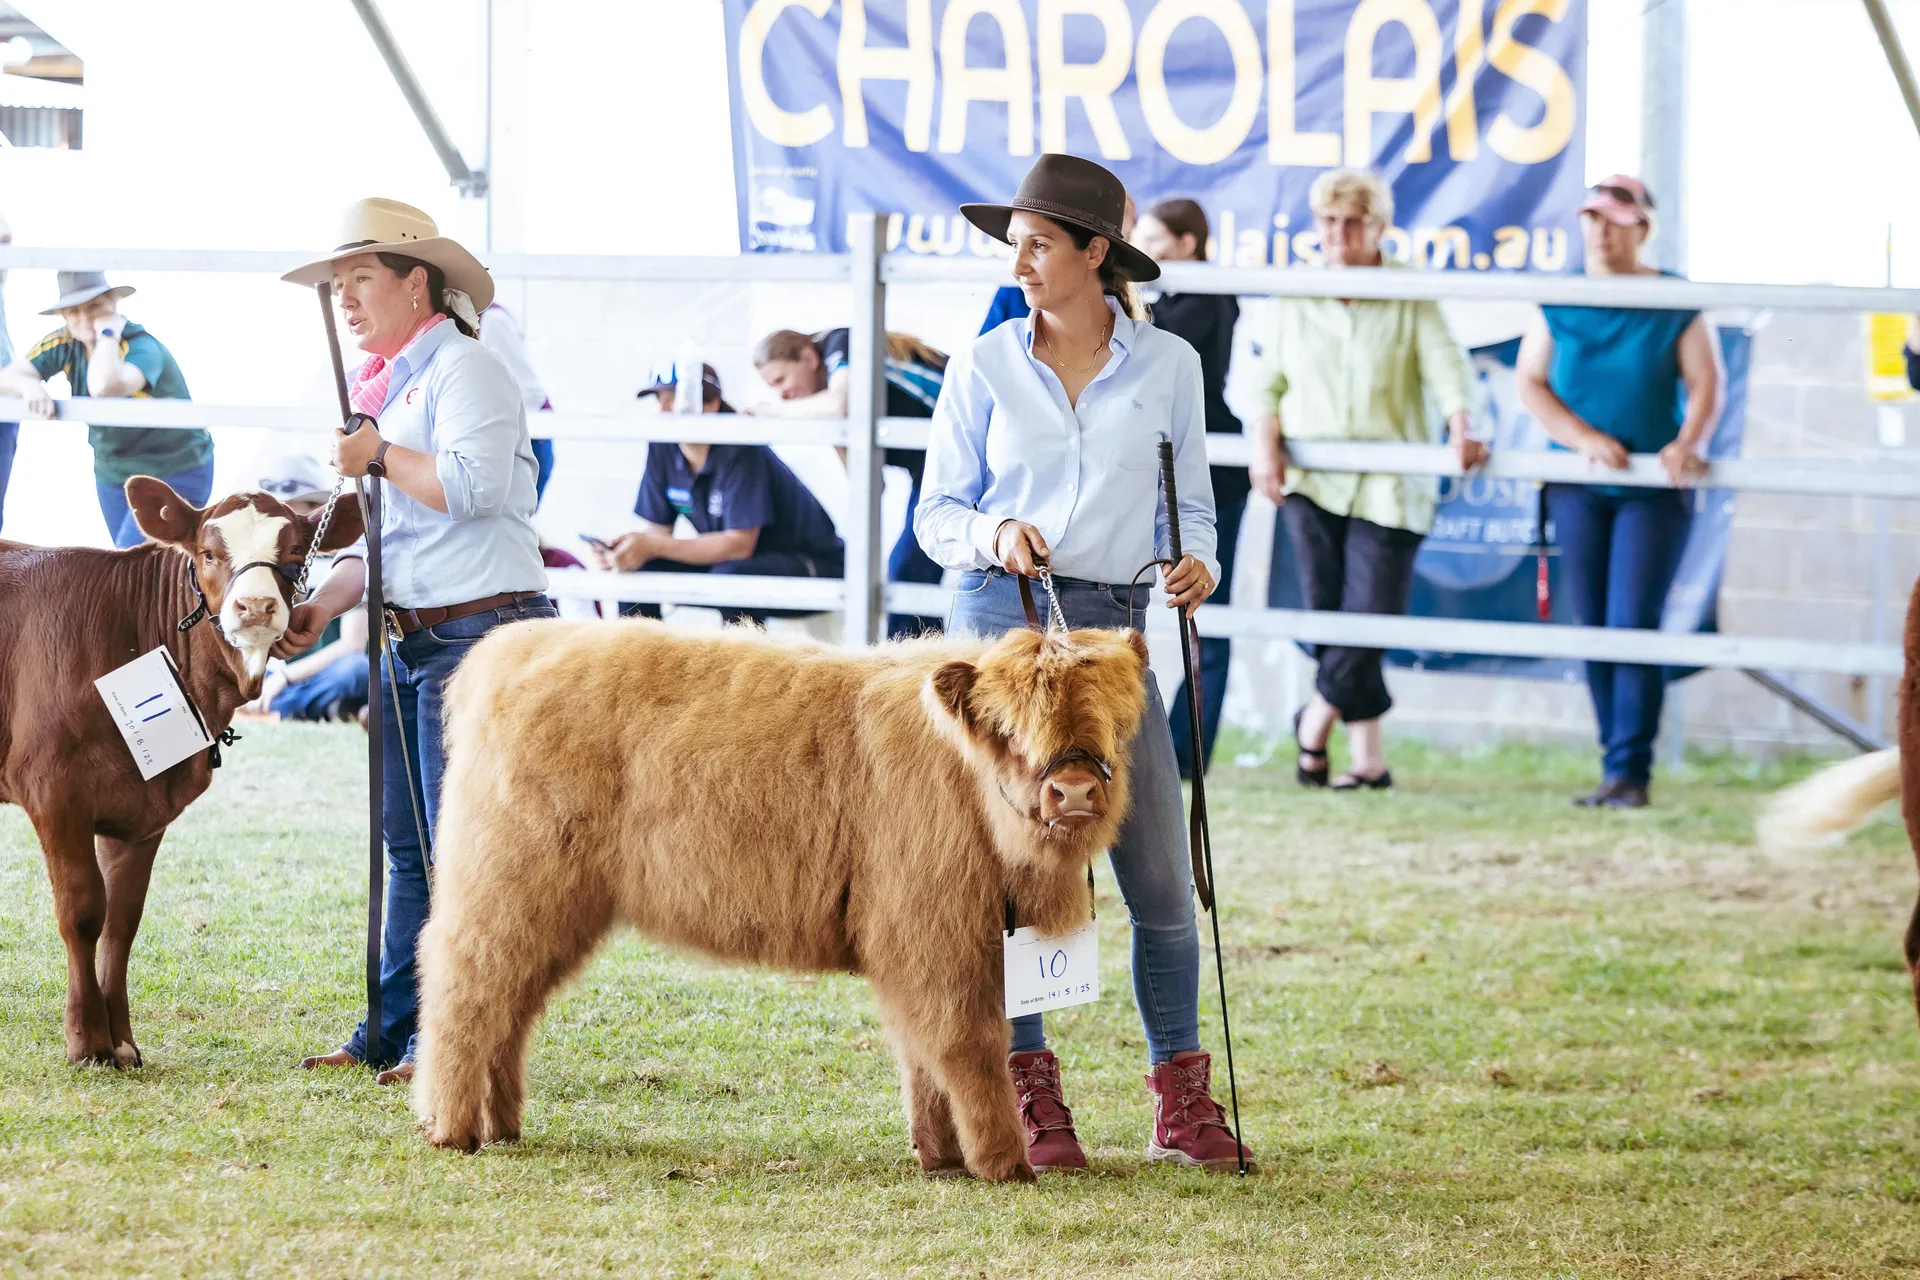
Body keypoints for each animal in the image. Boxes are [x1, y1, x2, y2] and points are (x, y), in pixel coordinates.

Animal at [0, 476, 363, 1066]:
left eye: (293, 554)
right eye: (208, 554)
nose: (256, 604)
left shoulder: (143, 807)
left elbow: (121, 922)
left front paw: (122, 1043)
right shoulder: (53, 789)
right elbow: (82, 911)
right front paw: (87, 1043)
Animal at [411, 618, 1152, 1183]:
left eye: (1114, 725)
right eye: (1010, 731)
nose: (1075, 792)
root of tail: (511, 645)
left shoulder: (932, 945)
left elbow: (922, 1054)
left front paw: (940, 1157)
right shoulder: (932, 940)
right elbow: (964, 1045)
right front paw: (1003, 1163)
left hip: (551, 909)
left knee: (511, 1006)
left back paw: (501, 1124)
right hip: (505, 888)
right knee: (465, 990)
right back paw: (451, 1128)